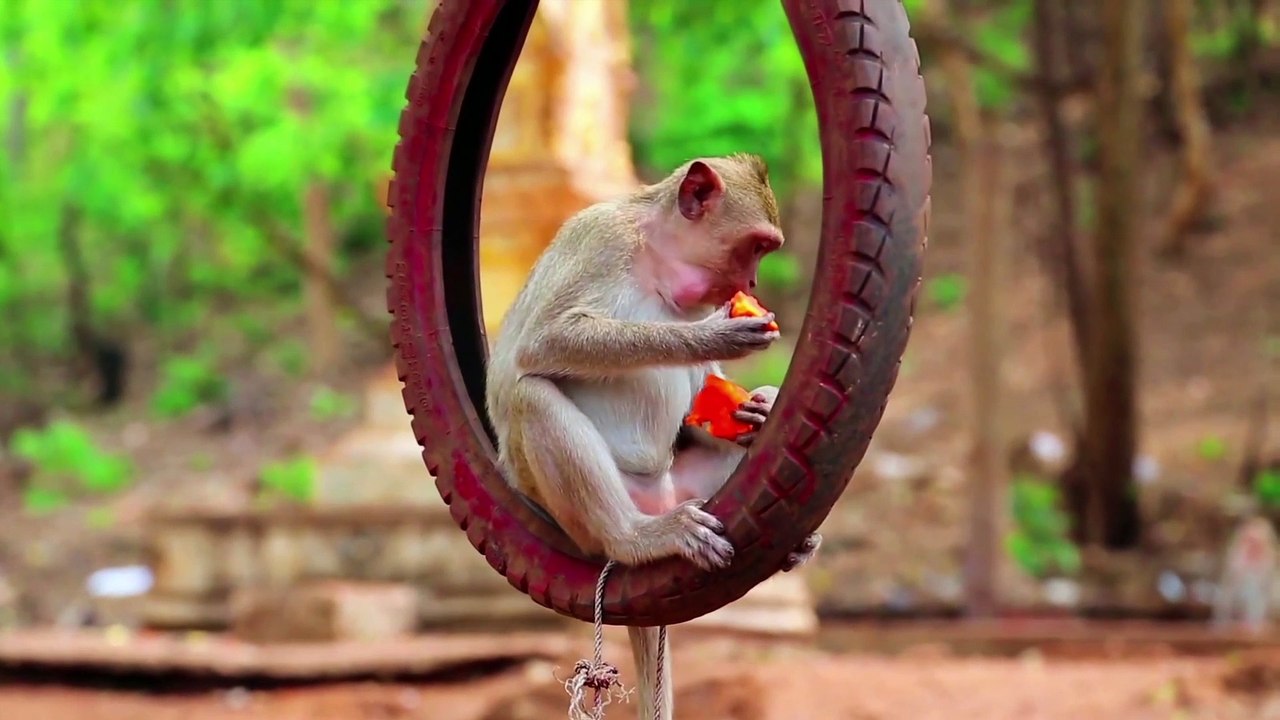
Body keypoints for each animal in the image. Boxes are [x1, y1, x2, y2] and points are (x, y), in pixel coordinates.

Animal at [486, 154, 821, 720]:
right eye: (754, 247)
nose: (753, 281)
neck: (655, 255)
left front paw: (759, 407)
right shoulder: (603, 239)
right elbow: (546, 341)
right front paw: (711, 336)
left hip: (695, 490)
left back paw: (794, 537)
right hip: (583, 522)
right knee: (533, 396)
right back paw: (636, 536)